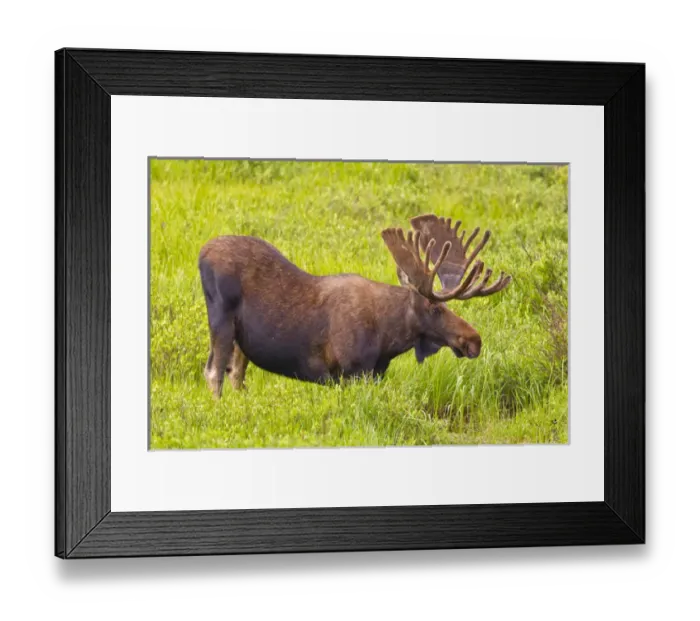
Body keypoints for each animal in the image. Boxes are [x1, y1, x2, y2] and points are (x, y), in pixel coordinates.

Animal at [198, 214, 512, 397]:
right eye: (435, 308)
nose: (474, 340)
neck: (388, 339)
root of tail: (201, 253)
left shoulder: (374, 374)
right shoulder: (348, 372)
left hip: (242, 340)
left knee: (235, 373)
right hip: (221, 320)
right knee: (213, 372)